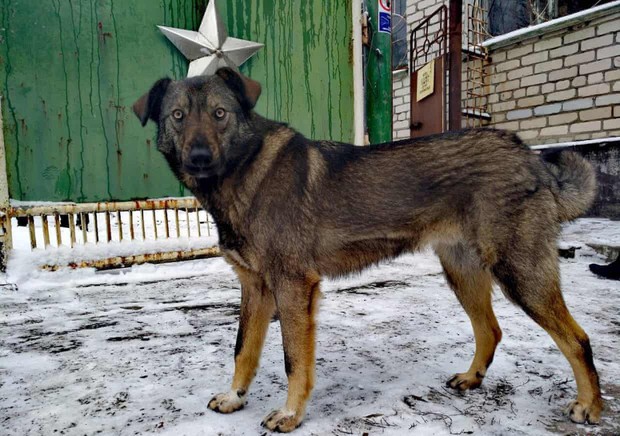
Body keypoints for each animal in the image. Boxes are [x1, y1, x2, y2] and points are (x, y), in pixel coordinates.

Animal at [133, 68, 604, 432]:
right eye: (178, 116)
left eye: (220, 114)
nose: (198, 156)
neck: (243, 171)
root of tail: (529, 156)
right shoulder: (255, 289)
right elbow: (243, 349)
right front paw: (235, 396)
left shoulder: (293, 289)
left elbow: (292, 360)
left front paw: (290, 414)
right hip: (464, 274)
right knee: (491, 330)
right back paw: (473, 378)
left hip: (521, 275)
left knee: (578, 339)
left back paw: (590, 406)